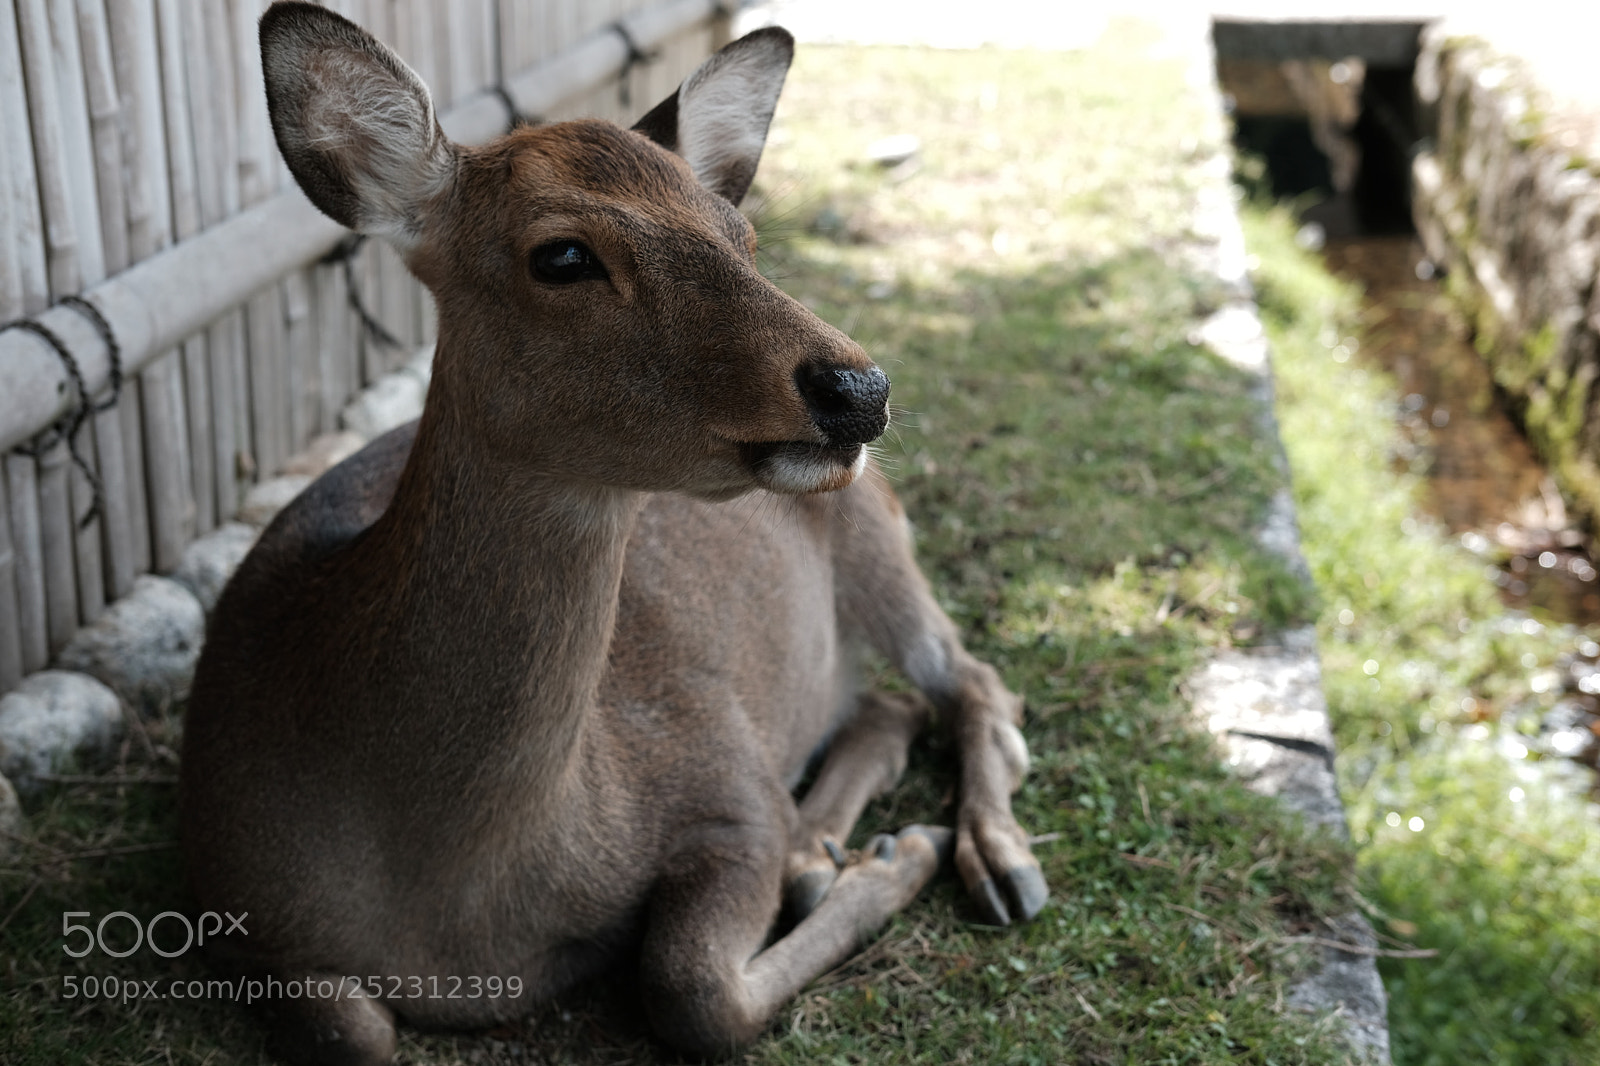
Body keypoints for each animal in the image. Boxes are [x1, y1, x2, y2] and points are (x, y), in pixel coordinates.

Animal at [178, 4, 1047, 1063]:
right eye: (562, 255)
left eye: (741, 235)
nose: (858, 390)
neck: (465, 904)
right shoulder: (239, 900)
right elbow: (357, 1030)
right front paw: (868, 855)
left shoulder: (723, 779)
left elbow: (693, 989)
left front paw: (902, 858)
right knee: (892, 704)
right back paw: (826, 851)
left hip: (875, 532)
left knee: (972, 680)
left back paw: (991, 863)